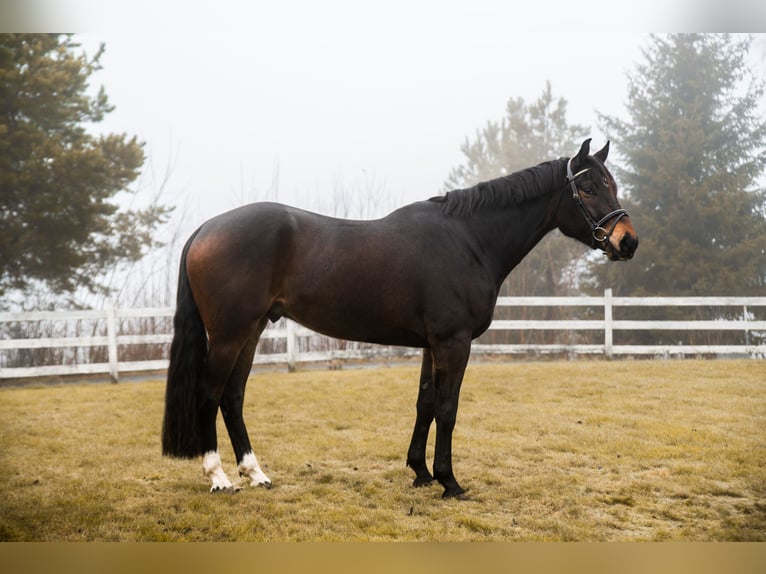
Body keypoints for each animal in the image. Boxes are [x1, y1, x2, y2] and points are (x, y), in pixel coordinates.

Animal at [161, 139, 638, 498]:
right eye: (588, 187)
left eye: (610, 183)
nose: (627, 241)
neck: (468, 240)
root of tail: (205, 229)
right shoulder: (453, 342)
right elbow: (447, 408)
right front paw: (450, 482)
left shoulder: (432, 344)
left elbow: (424, 404)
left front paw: (421, 473)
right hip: (229, 334)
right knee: (209, 394)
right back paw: (219, 478)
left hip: (253, 329)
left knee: (232, 396)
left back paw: (256, 473)